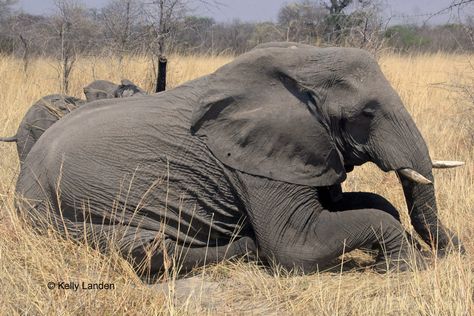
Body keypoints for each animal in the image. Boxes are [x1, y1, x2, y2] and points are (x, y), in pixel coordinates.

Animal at [13, 43, 462, 276]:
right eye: (366, 114)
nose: (458, 248)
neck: (301, 65)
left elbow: (367, 204)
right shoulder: (249, 162)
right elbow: (295, 244)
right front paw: (405, 267)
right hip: (61, 216)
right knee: (148, 247)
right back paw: (246, 246)